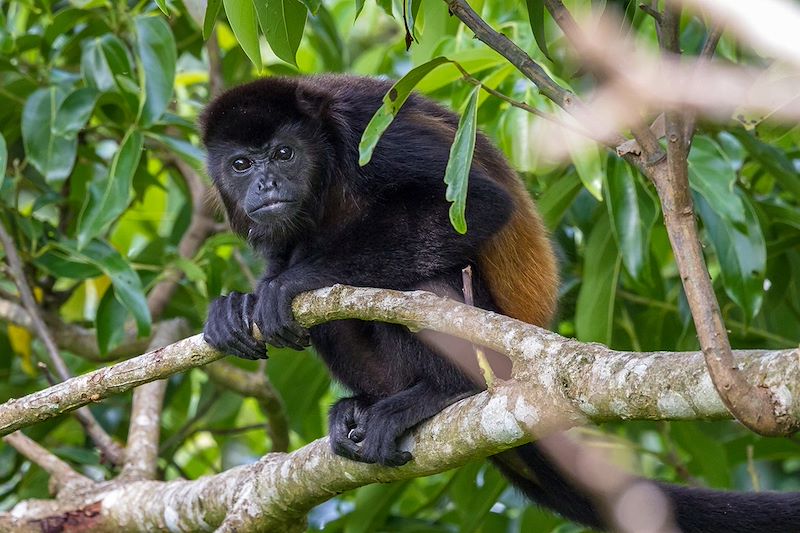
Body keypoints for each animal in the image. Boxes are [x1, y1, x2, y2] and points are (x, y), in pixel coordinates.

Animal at [200, 74, 800, 532]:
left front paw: (292, 282)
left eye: (283, 153)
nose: (266, 184)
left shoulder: (367, 127)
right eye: (241, 164)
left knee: (429, 283)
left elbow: (479, 206)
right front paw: (240, 302)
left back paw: (442, 391)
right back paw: (362, 403)